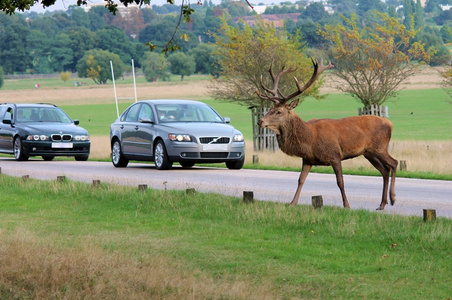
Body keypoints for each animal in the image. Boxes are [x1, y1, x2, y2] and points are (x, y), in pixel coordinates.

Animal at [256, 58, 398, 209]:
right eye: (270, 109)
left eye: (279, 111)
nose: (260, 121)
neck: (309, 140)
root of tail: (390, 124)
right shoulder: (307, 159)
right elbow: (300, 180)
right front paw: (292, 203)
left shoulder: (335, 155)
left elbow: (340, 181)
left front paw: (347, 205)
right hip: (368, 153)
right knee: (384, 170)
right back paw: (382, 204)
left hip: (380, 147)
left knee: (394, 163)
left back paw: (392, 198)